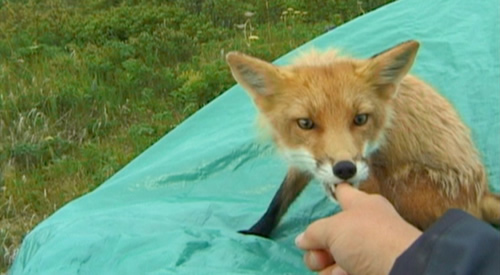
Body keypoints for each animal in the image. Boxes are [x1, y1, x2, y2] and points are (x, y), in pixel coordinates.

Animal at [226, 40, 500, 238]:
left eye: (360, 119)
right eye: (305, 123)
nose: (345, 169)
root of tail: (482, 192)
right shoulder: (301, 159)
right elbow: (279, 200)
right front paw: (256, 233)